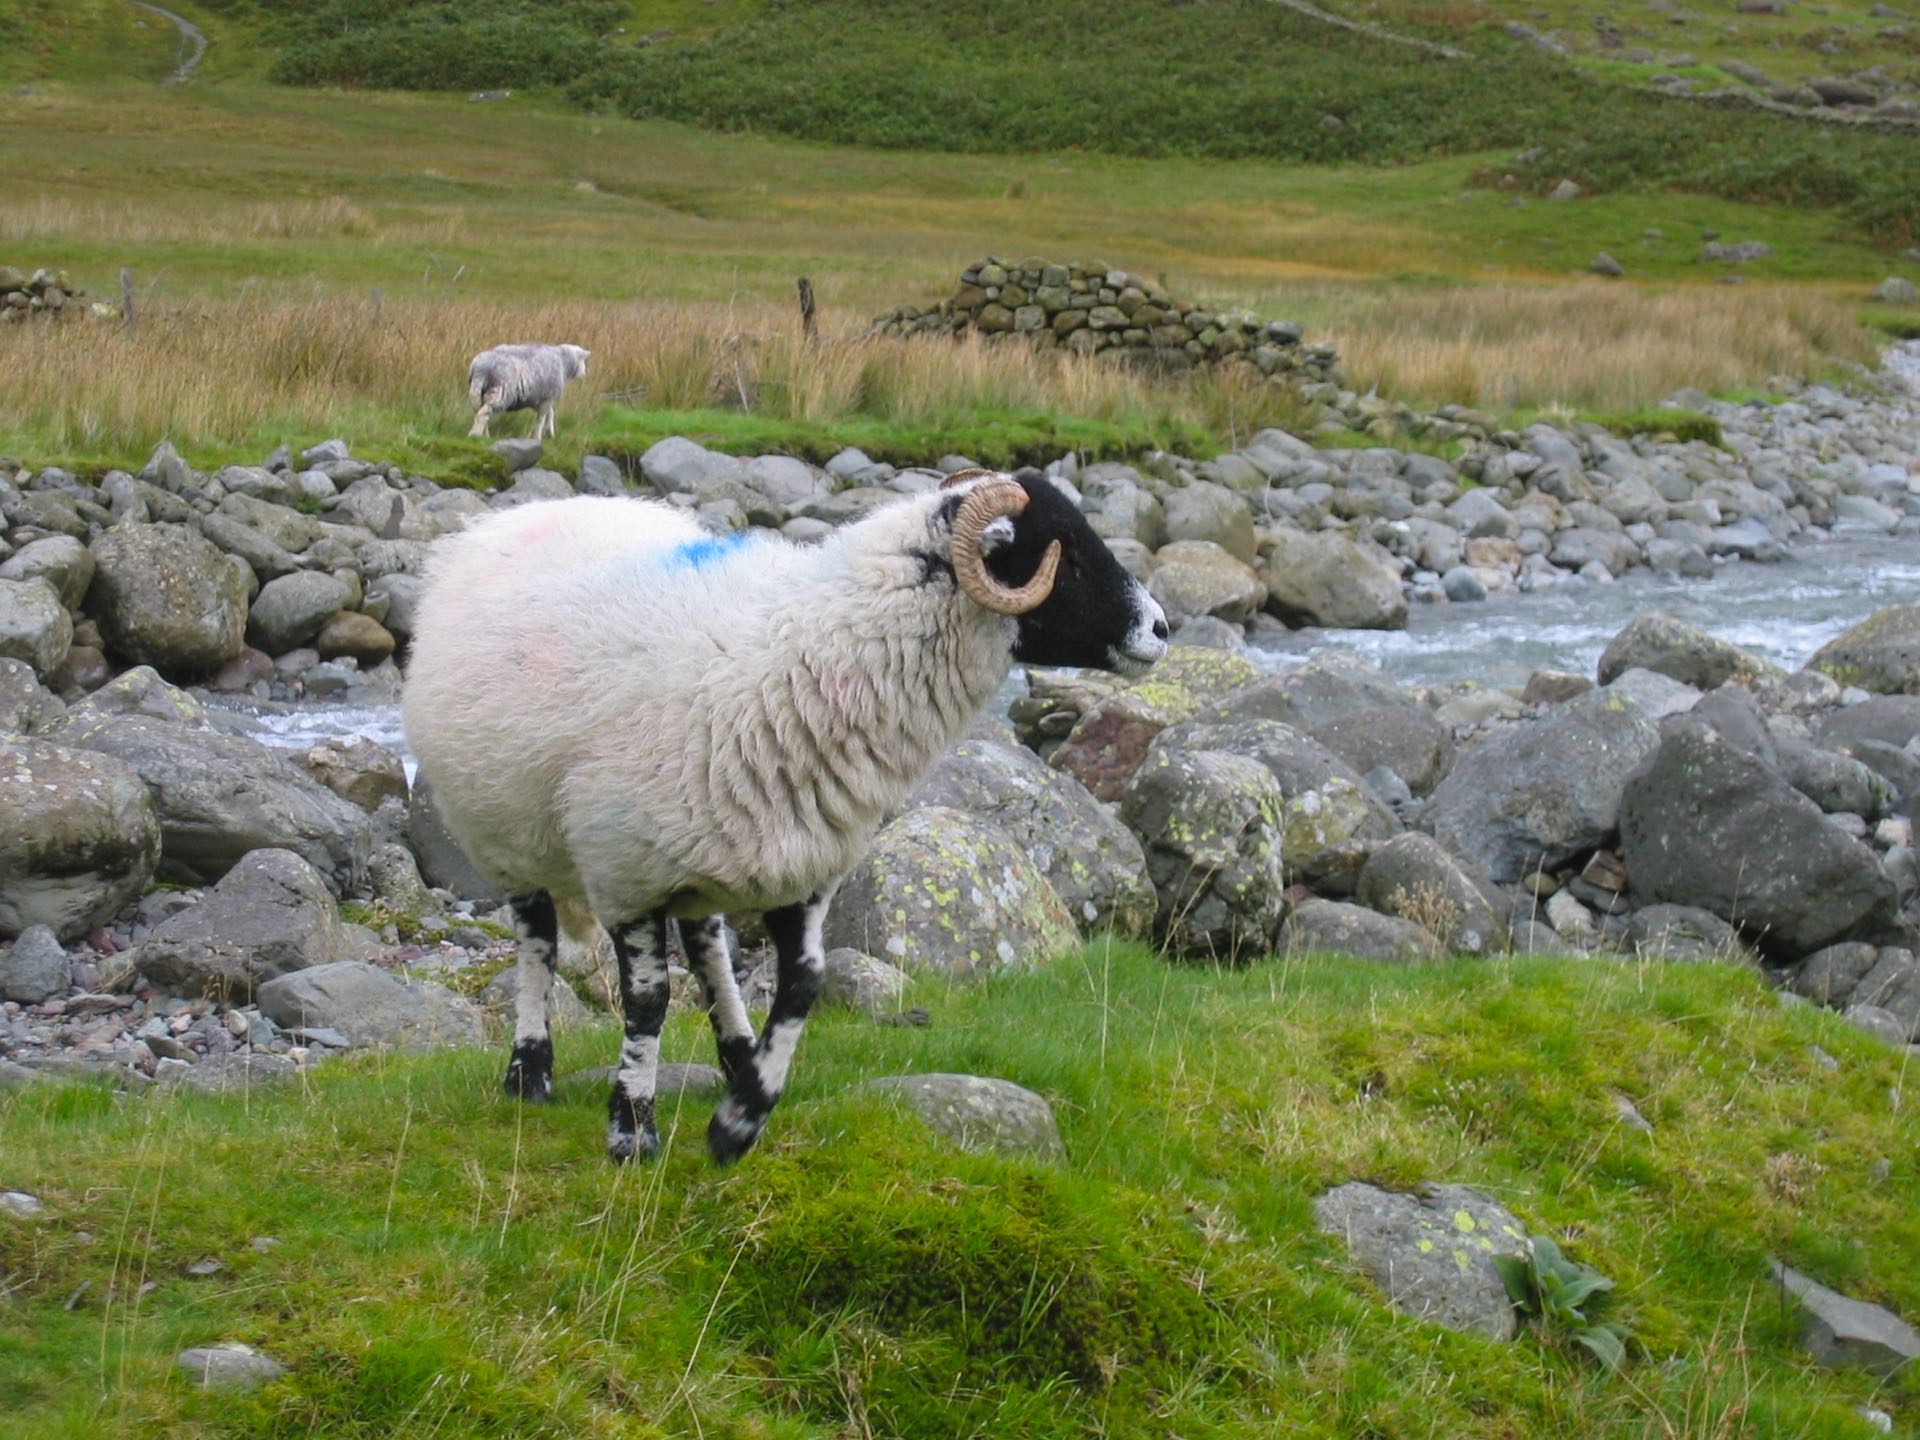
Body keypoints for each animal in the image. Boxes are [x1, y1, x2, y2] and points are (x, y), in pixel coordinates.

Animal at [401, 470, 1169, 1164]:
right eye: (1066, 553)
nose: (1161, 628)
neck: (808, 651)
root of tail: (507, 519)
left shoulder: (805, 864)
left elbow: (803, 985)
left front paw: (741, 1119)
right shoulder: (624, 869)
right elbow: (647, 1002)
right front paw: (632, 1130)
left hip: (711, 846)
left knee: (707, 941)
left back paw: (736, 1052)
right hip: (504, 833)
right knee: (536, 939)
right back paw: (529, 1070)